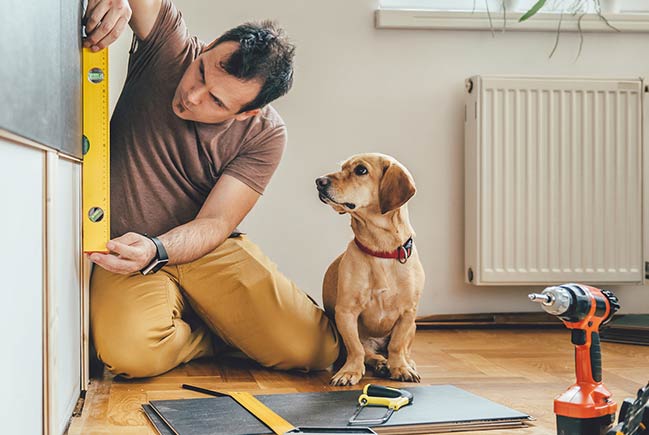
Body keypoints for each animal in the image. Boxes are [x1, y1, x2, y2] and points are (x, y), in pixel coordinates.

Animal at [316, 154, 426, 388]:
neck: (381, 250)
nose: (319, 181)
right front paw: (350, 372)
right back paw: (381, 363)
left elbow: (397, 345)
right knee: (369, 353)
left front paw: (401, 368)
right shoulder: (346, 312)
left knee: (401, 349)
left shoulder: (408, 313)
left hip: (413, 326)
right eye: (342, 167)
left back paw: (404, 363)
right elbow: (356, 349)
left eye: (361, 170)